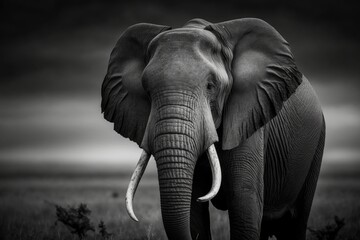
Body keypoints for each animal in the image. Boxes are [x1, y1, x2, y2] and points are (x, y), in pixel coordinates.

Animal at [100, 17, 326, 239]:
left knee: (296, 222)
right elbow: (194, 215)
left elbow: (244, 203)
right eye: (146, 90)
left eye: (211, 86)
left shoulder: (249, 117)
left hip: (316, 144)